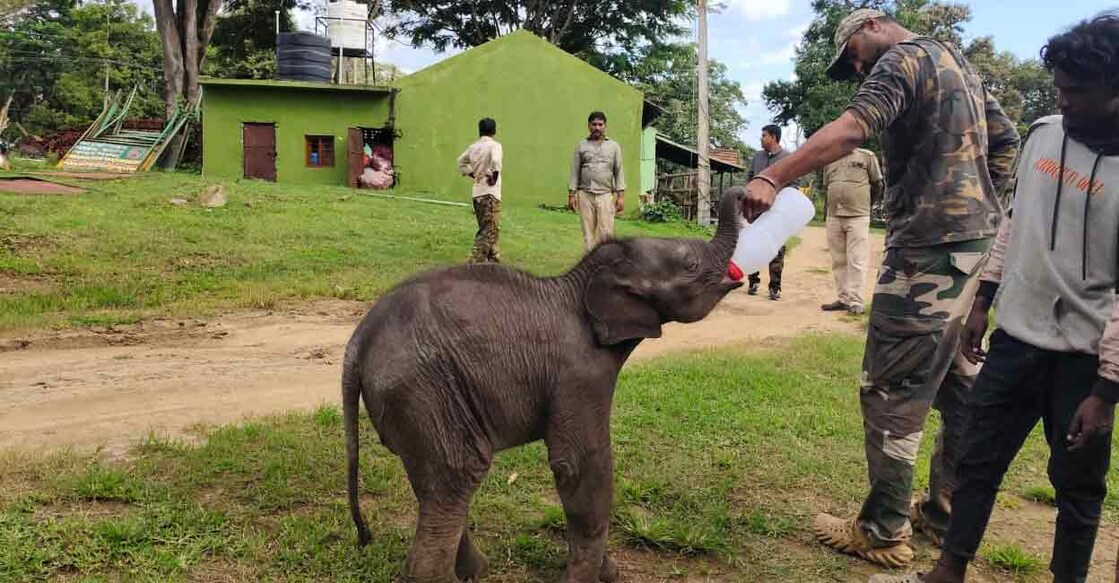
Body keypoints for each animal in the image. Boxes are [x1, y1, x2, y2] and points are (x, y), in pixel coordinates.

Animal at [343, 188, 747, 582]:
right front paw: (596, 577)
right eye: (691, 266)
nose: (743, 192)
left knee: (435, 485)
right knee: (460, 472)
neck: (580, 283)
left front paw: (607, 571)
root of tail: (358, 342)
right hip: (426, 390)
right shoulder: (579, 373)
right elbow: (582, 467)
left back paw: (477, 570)